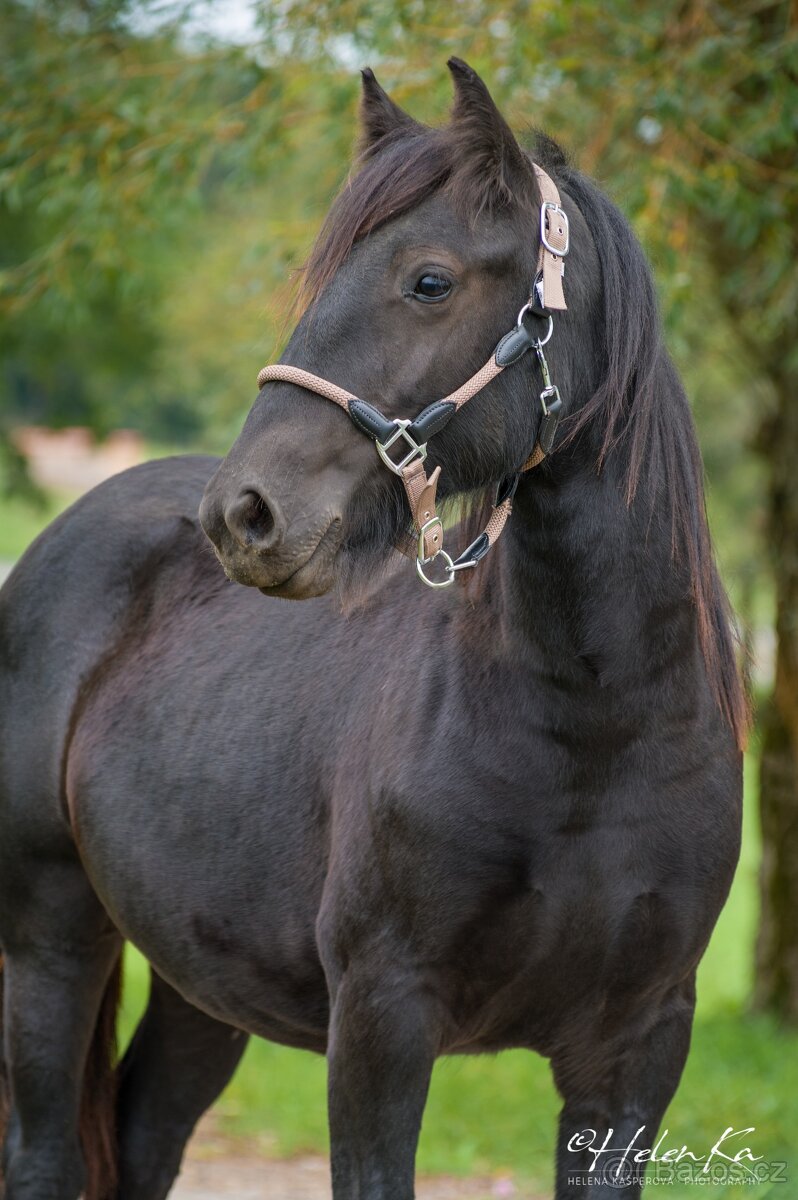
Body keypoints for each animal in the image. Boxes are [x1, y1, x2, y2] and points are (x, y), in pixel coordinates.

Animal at [0, 59, 747, 1200]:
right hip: (50, 936)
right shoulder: (382, 1022)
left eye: (428, 281)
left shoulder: (635, 1054)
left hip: (202, 980)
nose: (246, 514)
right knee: (44, 1152)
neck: (596, 725)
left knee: (142, 1138)